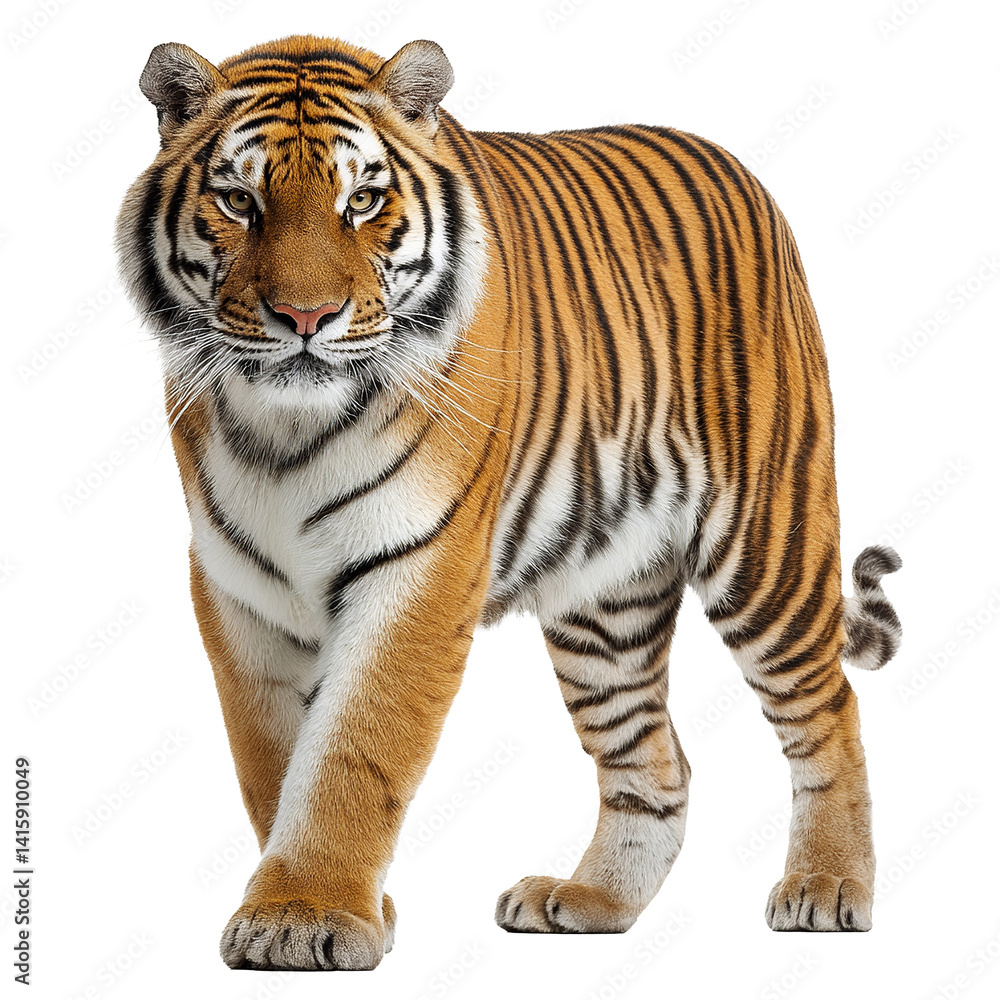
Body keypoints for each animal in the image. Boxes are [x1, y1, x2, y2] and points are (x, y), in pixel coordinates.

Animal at [116, 34, 903, 971]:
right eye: (238, 201)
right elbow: (272, 759)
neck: (283, 431)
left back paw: (828, 885)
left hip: (764, 544)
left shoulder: (420, 569)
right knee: (655, 762)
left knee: (828, 708)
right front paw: (330, 905)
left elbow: (351, 752)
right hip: (605, 605)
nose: (306, 317)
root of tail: (736, 165)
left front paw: (303, 915)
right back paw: (590, 901)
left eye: (363, 201)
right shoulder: (238, 588)